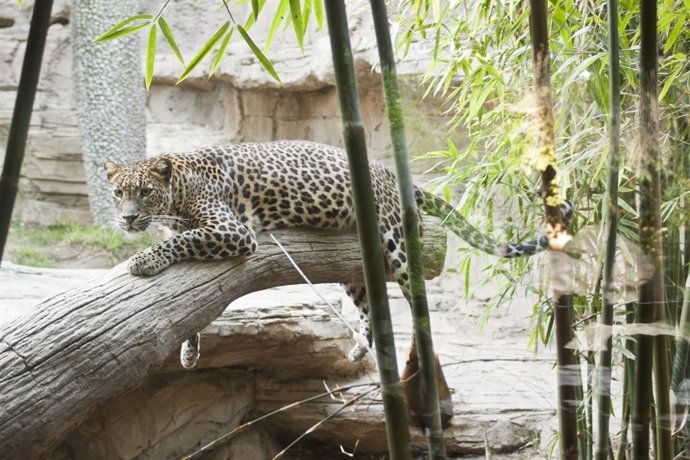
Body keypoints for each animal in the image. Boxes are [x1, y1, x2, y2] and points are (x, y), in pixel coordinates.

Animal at [105, 140, 569, 370]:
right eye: (118, 193)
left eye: (144, 192)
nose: (127, 219)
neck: (176, 192)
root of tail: (388, 171)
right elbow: (195, 309)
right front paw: (189, 351)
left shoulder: (233, 232)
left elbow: (179, 242)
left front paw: (144, 260)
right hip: (354, 265)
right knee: (369, 308)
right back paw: (362, 351)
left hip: (397, 241)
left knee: (413, 298)